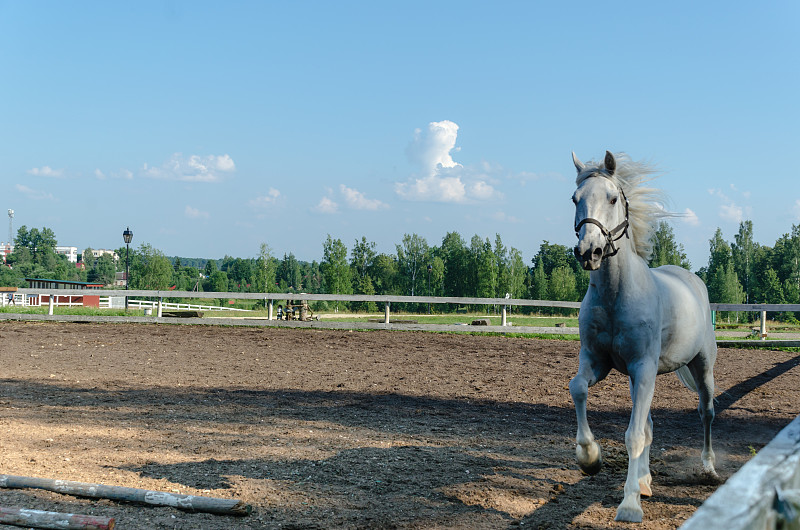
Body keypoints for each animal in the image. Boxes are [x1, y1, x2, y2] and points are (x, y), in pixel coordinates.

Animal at [568, 150, 720, 520]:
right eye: (575, 199)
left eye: (611, 198)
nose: (589, 251)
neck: (616, 295)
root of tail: (690, 279)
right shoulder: (598, 363)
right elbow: (577, 388)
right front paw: (590, 459)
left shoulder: (643, 366)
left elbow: (634, 435)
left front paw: (629, 505)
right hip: (641, 377)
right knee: (650, 425)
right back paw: (646, 481)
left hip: (700, 367)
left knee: (706, 412)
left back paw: (709, 469)